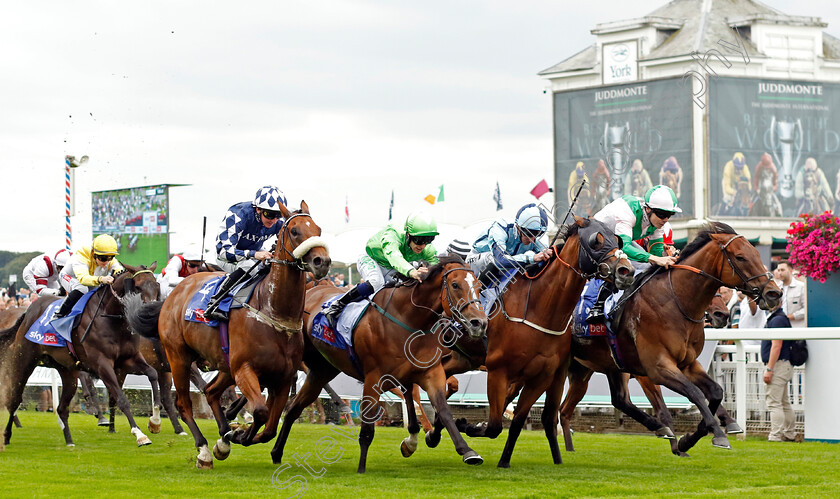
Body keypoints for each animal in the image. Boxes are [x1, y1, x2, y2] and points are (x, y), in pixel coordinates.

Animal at [0, 266, 162, 454]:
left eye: (156, 286)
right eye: (137, 287)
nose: (150, 313)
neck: (110, 318)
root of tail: (27, 312)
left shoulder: (128, 359)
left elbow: (152, 373)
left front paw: (155, 421)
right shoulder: (102, 365)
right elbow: (121, 398)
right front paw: (139, 435)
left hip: (67, 370)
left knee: (62, 408)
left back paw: (69, 441)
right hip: (24, 360)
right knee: (14, 399)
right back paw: (6, 435)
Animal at [124, 200, 328, 468]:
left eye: (318, 229)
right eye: (294, 231)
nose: (322, 261)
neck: (274, 311)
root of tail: (171, 296)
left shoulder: (283, 377)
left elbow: (270, 427)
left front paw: (235, 433)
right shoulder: (245, 369)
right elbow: (261, 412)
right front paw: (237, 434)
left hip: (224, 365)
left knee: (211, 392)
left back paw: (223, 437)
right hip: (179, 358)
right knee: (184, 404)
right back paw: (204, 450)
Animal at [272, 258, 488, 472]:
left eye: (479, 286)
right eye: (455, 285)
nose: (479, 323)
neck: (409, 318)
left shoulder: (429, 373)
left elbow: (443, 410)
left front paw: (467, 451)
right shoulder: (374, 377)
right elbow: (368, 427)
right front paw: (361, 468)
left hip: (321, 370)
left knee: (294, 409)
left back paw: (276, 452)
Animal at [446, 219, 632, 468]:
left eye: (617, 240)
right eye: (596, 241)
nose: (627, 270)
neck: (538, 309)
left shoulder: (542, 376)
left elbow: (516, 421)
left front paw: (503, 460)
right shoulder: (497, 370)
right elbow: (494, 425)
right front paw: (468, 425)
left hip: (462, 358)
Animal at [556, 225, 780, 456]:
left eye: (757, 254)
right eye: (740, 257)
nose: (774, 293)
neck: (674, 301)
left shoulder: (688, 364)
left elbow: (716, 392)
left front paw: (691, 437)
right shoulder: (656, 368)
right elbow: (692, 395)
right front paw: (713, 434)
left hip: (591, 368)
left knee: (598, 403)